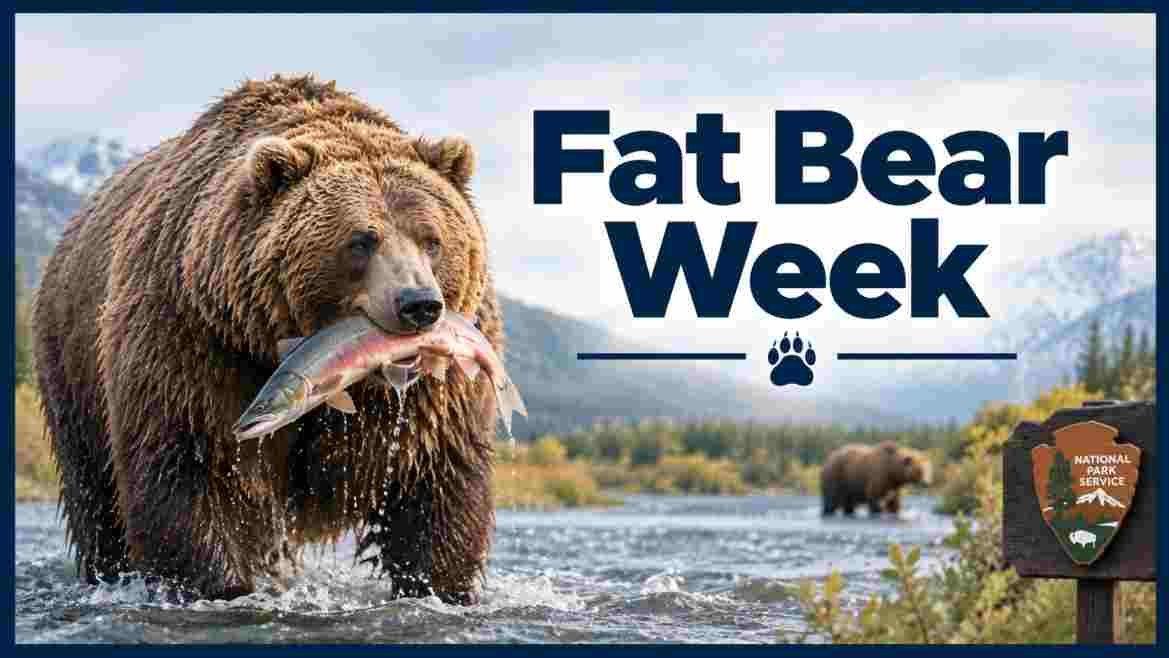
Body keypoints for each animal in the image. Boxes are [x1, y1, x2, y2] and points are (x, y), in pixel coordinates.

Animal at [32, 75, 504, 604]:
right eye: (361, 240)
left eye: (432, 239)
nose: (418, 304)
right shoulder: (197, 340)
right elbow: (189, 468)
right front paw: (216, 585)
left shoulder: (434, 394)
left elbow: (436, 483)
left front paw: (438, 586)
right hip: (70, 365)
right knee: (95, 496)